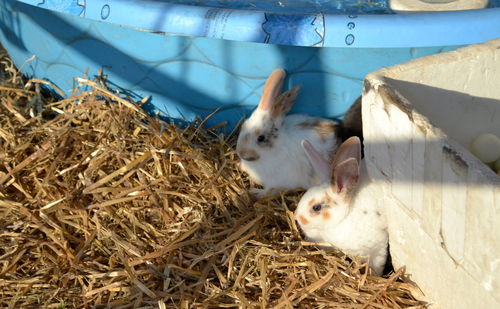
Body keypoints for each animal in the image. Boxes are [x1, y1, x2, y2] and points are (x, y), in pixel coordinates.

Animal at [234, 67, 340, 197]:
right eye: (243, 126)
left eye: (261, 138)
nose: (241, 153)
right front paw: (239, 165)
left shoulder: (277, 182)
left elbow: (268, 191)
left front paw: (254, 193)